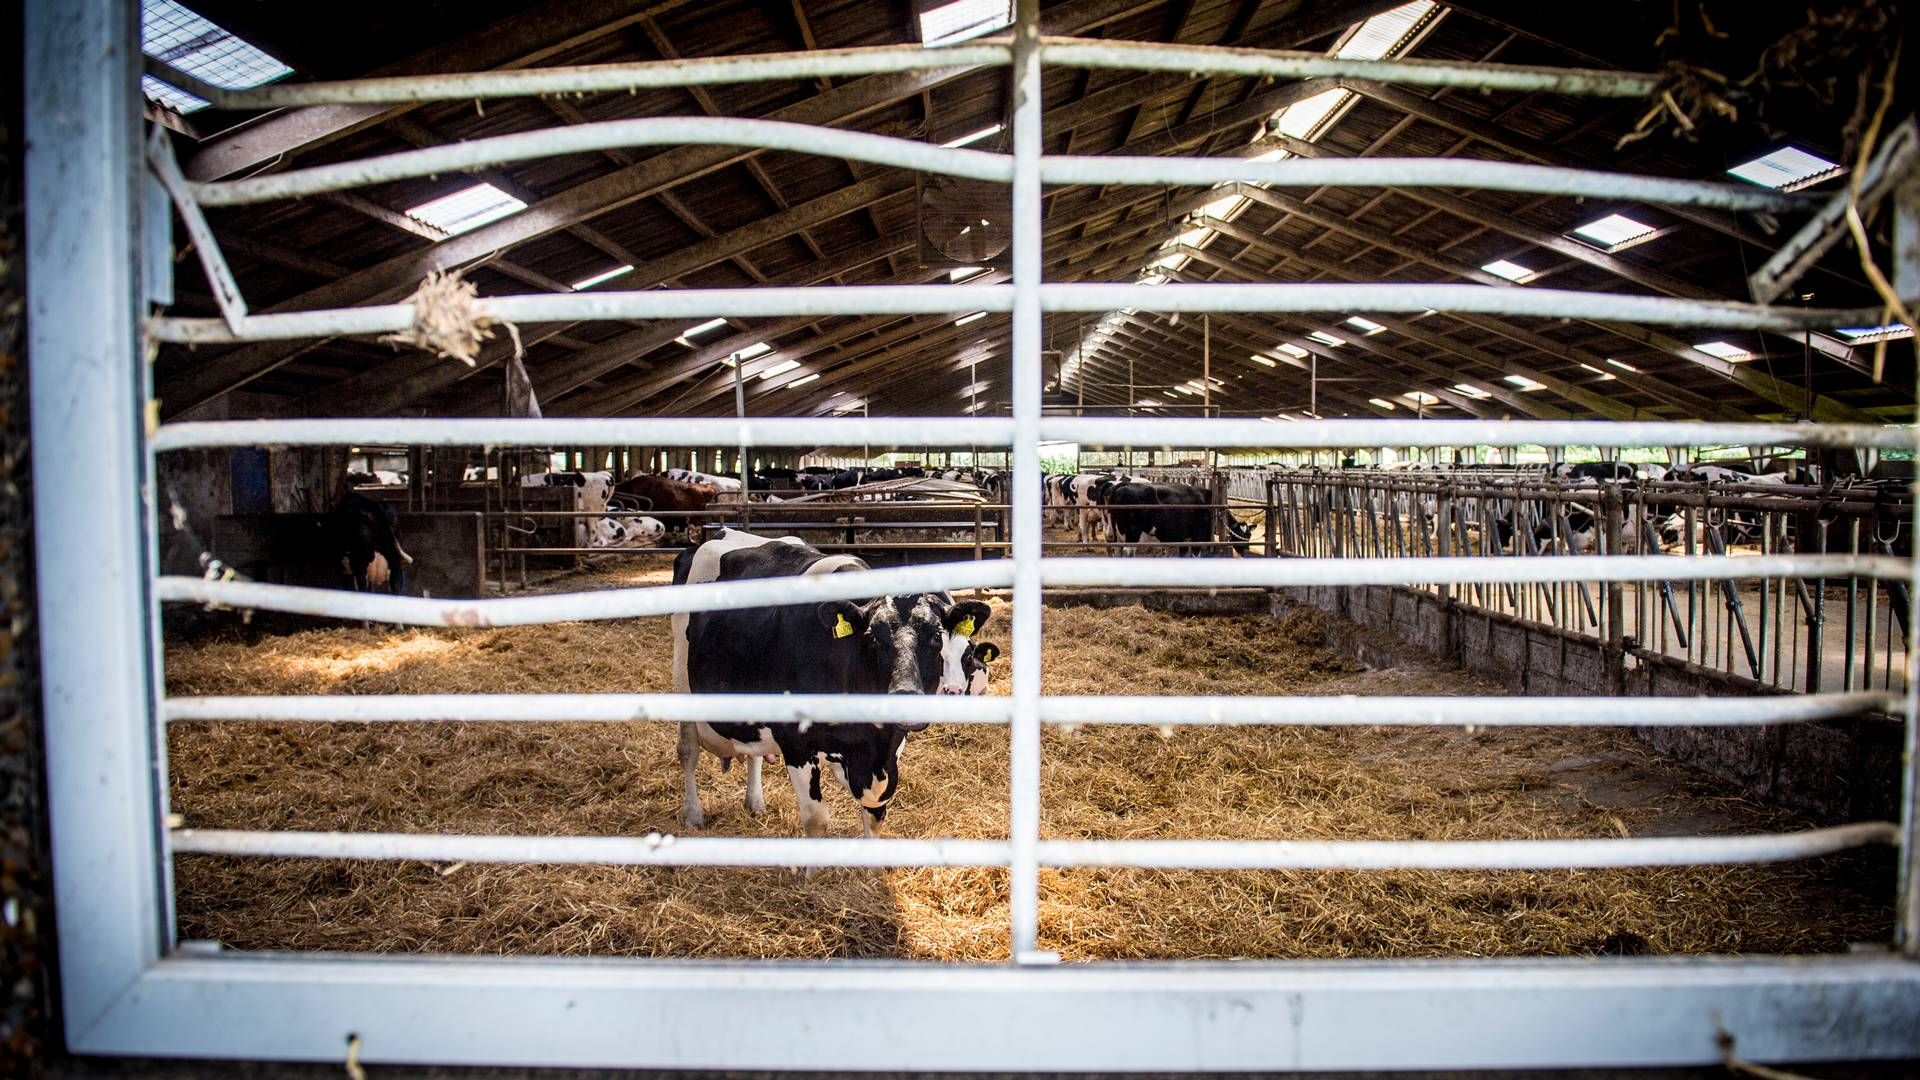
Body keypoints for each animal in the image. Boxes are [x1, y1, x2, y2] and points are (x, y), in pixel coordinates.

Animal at [675, 526, 998, 834]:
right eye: (872, 637)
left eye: (936, 636)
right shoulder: (796, 742)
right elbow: (816, 819)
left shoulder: (885, 752)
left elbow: (874, 813)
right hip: (683, 682)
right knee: (688, 750)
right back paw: (692, 814)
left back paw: (754, 803)